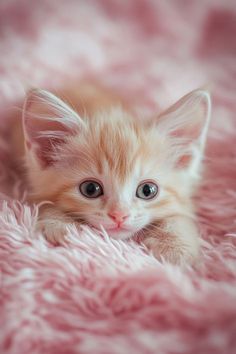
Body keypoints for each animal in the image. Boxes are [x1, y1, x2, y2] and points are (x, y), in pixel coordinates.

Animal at [17, 85, 211, 262]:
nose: (119, 215)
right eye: (90, 189)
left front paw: (175, 246)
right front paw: (60, 225)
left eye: (147, 190)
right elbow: (44, 204)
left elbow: (180, 216)